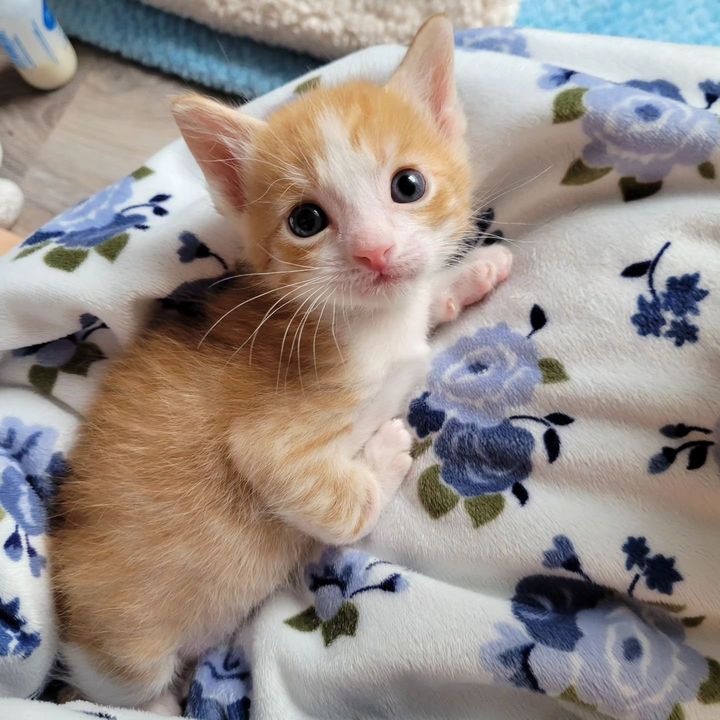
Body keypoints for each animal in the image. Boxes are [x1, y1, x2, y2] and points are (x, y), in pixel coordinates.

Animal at [49, 16, 512, 716]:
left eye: (408, 186)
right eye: (307, 220)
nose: (376, 252)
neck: (368, 325)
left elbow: (425, 295)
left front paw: (467, 275)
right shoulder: (271, 440)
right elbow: (336, 500)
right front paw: (384, 457)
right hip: (124, 659)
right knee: (129, 691)